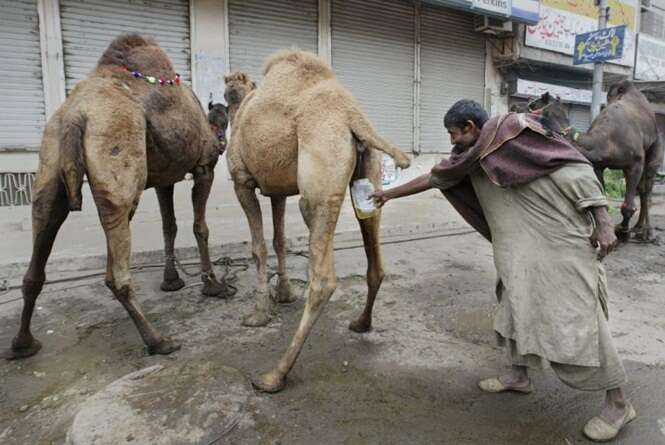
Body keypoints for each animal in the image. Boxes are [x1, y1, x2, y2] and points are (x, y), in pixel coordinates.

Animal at [3, 34, 231, 360]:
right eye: (222, 123)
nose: (223, 142)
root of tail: (74, 115)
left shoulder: (164, 179)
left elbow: (169, 226)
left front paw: (171, 281)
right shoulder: (204, 168)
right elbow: (200, 227)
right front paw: (212, 285)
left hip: (49, 163)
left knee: (41, 240)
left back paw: (22, 344)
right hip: (117, 160)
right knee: (116, 265)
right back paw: (158, 340)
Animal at [222, 49, 410, 392]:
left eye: (228, 93)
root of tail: (352, 116)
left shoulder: (242, 181)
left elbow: (258, 248)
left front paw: (257, 315)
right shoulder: (278, 189)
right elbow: (279, 240)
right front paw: (284, 295)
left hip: (318, 181)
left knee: (323, 280)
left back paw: (275, 374)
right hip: (368, 175)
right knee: (374, 258)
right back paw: (361, 323)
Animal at [528, 80, 660, 239]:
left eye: (537, 103)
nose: (528, 103)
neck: (607, 140)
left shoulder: (635, 163)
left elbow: (628, 205)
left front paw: (622, 231)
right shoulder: (598, 165)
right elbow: (601, 198)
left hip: (654, 147)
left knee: (646, 188)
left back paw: (646, 232)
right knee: (642, 189)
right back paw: (638, 227)